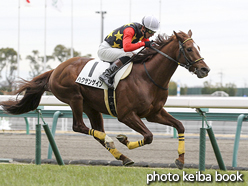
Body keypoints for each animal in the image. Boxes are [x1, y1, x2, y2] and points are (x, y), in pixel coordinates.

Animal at [0, 29, 210, 169]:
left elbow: (180, 126)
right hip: (74, 98)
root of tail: (55, 70)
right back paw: (113, 141)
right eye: (189, 49)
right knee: (80, 126)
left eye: (199, 47)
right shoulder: (126, 115)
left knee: (96, 131)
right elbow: (149, 136)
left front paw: (180, 160)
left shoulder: (154, 113)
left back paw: (122, 156)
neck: (148, 76)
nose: (205, 69)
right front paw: (124, 139)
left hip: (91, 107)